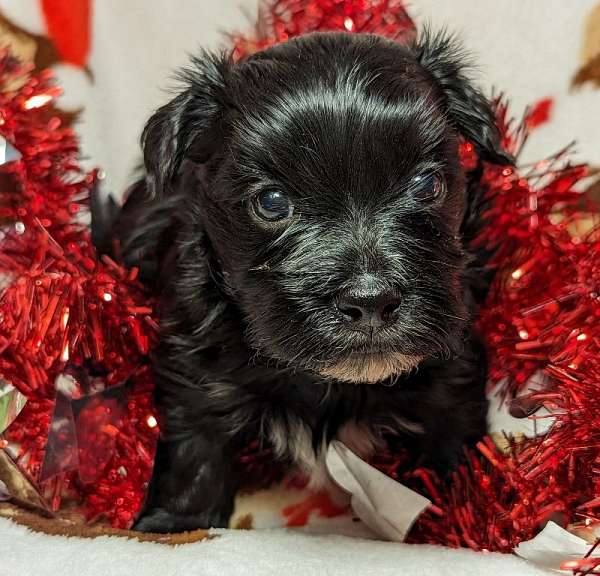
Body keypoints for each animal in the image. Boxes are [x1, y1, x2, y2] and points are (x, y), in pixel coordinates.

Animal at [103, 29, 510, 532]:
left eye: (426, 185)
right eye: (272, 202)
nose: (370, 300)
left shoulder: (454, 360)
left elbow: (456, 436)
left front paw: (467, 514)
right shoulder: (195, 361)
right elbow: (194, 443)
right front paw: (177, 523)